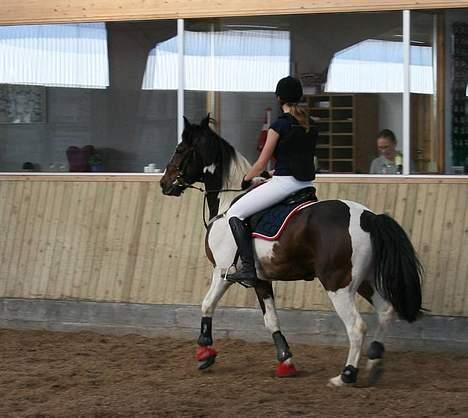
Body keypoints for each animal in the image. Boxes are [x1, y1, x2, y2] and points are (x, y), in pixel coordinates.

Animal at [159, 115, 422, 388]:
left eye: (180, 150)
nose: (164, 183)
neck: (226, 205)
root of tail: (369, 217)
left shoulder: (222, 272)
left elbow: (207, 304)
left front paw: (205, 353)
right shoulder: (260, 279)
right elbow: (271, 320)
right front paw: (285, 362)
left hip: (338, 285)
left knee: (357, 327)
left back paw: (346, 375)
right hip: (364, 281)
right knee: (386, 311)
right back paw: (375, 363)